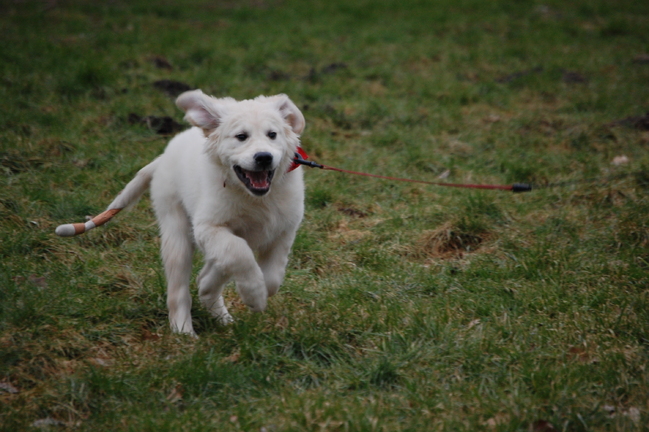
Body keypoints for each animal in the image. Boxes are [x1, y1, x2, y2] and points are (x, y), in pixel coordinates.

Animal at [99, 90, 306, 336]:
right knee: (178, 289)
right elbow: (239, 253)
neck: (255, 197)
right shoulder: (208, 227)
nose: (264, 157)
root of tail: (164, 156)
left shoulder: (284, 229)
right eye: (241, 136)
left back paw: (217, 309)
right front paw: (254, 295)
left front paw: (254, 292)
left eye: (272, 134)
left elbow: (272, 276)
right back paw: (183, 331)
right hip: (176, 228)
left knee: (210, 271)